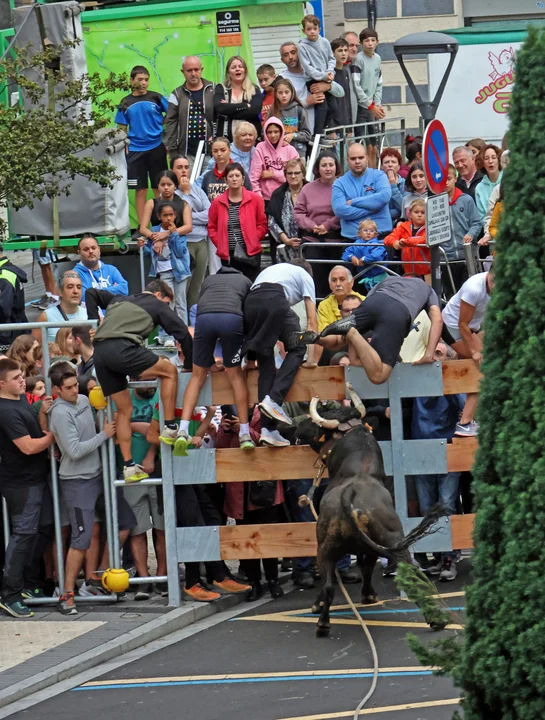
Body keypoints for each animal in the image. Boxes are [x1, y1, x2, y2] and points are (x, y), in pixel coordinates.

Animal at [296, 387, 443, 637]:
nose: (297, 426)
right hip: (388, 544)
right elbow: (366, 567)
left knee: (330, 585)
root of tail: (350, 495)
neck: (358, 469)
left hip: (328, 548)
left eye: (318, 425)